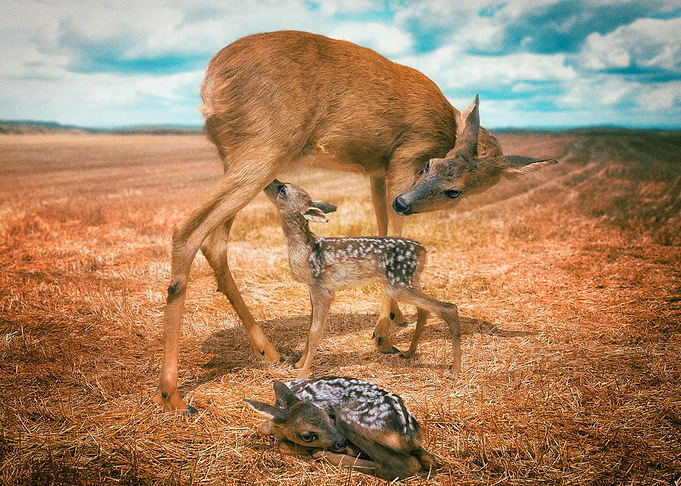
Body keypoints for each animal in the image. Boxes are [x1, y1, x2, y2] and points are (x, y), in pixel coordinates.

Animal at [244, 377, 438, 480]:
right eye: (307, 436)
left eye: (329, 415)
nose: (342, 442)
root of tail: (408, 434)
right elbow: (265, 429)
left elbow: (281, 442)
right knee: (428, 458)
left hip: (347, 417)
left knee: (404, 465)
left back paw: (325, 454)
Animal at [264, 179, 461, 378]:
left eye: (283, 189)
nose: (270, 182)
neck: (306, 251)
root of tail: (423, 251)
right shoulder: (313, 289)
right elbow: (310, 329)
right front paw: (298, 364)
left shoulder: (324, 289)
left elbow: (314, 333)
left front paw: (302, 374)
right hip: (409, 281)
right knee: (425, 311)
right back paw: (409, 353)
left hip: (398, 285)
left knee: (449, 308)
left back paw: (455, 372)